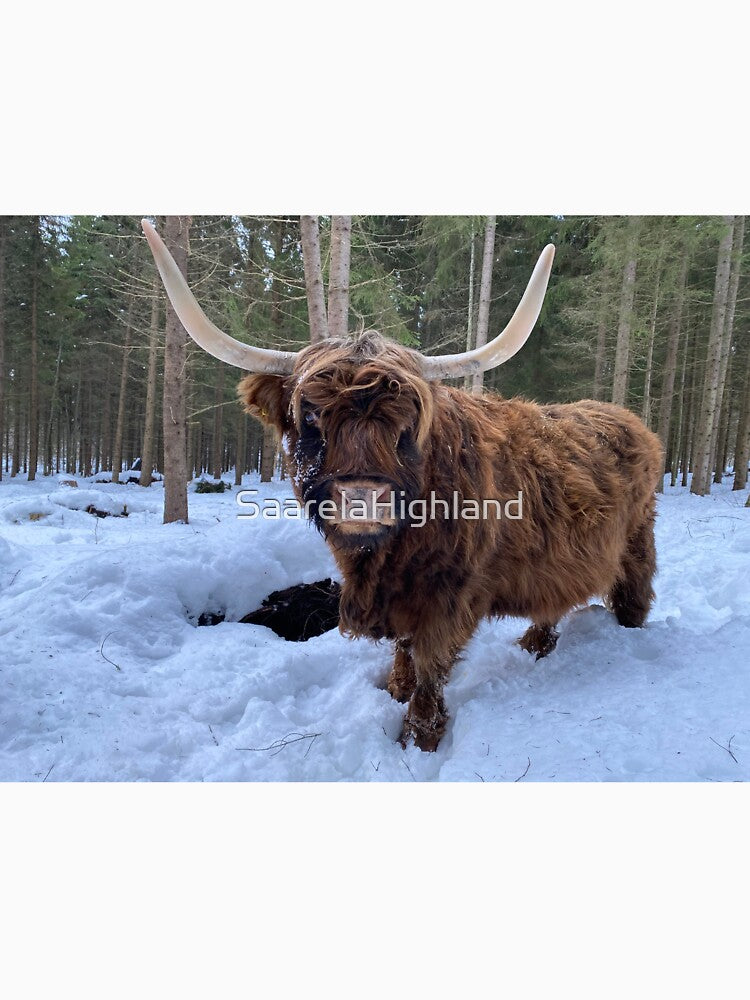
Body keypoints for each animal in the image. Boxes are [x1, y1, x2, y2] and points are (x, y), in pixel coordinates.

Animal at [142, 220, 663, 752]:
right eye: (311, 417)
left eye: (404, 425)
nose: (360, 498)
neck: (385, 558)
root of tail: (627, 419)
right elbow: (404, 647)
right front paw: (395, 687)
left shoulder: (451, 594)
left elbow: (431, 661)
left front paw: (420, 734)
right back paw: (535, 643)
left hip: (637, 540)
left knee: (634, 593)